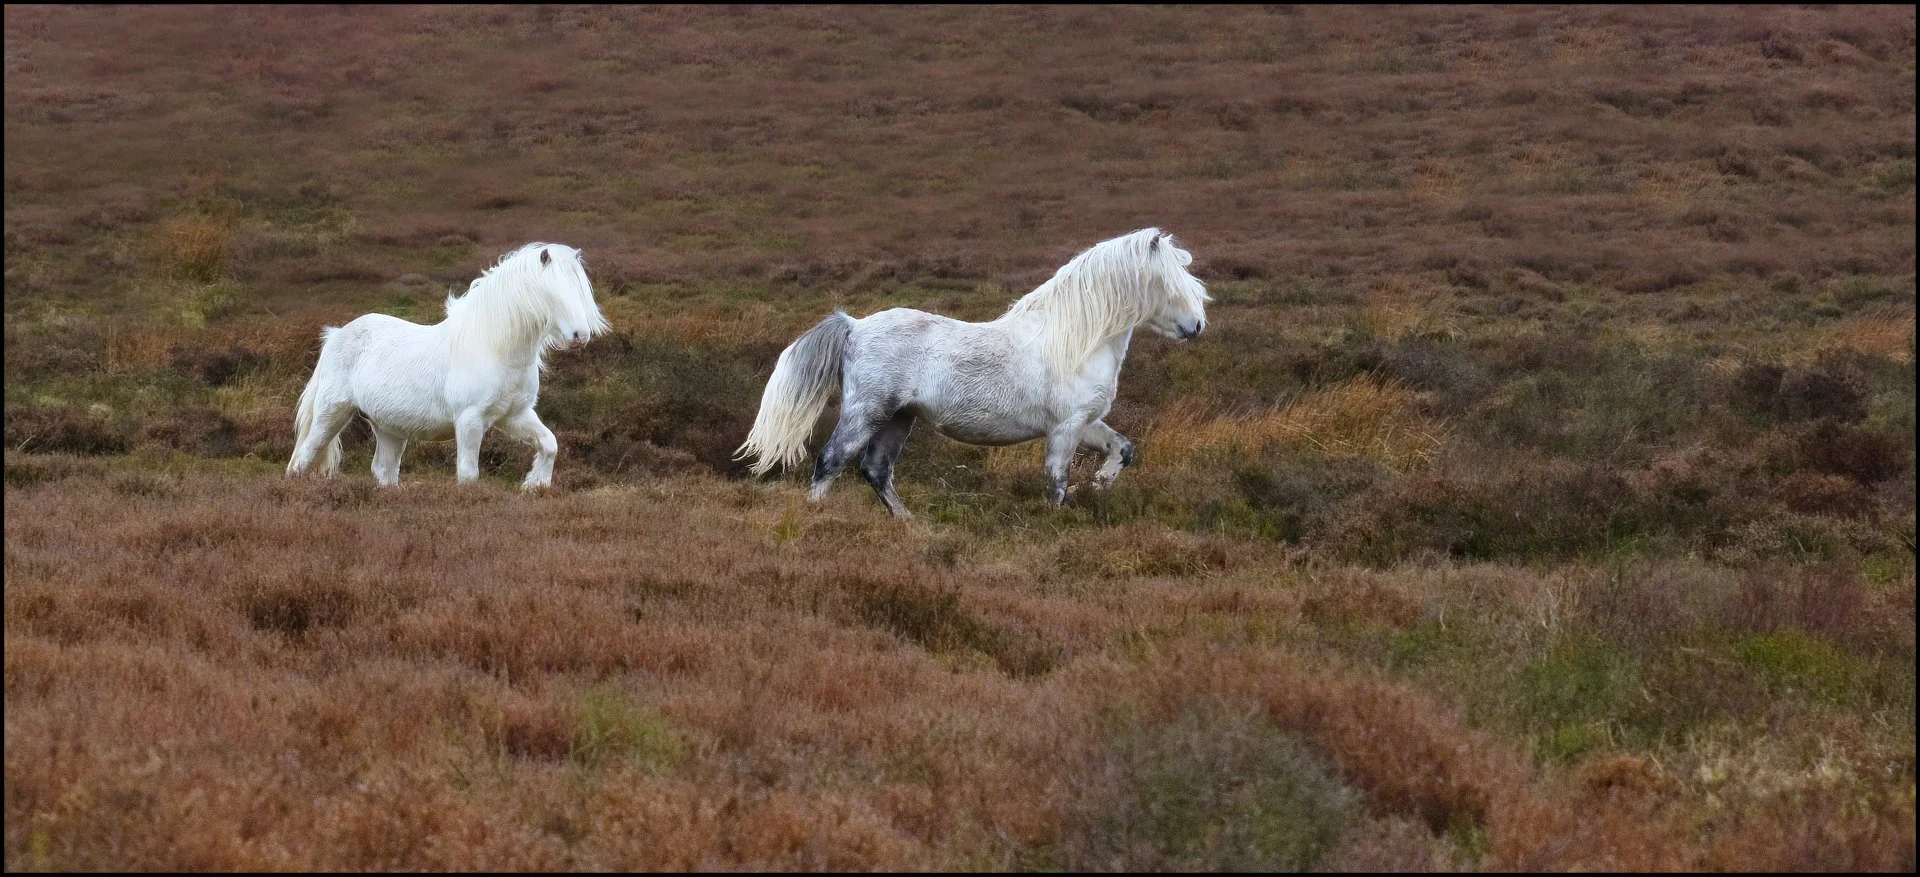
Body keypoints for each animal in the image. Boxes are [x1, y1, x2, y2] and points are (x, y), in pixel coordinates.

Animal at [285, 242, 610, 489]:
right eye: (551, 291)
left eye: (580, 288)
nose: (580, 336)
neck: (494, 349)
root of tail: (336, 335)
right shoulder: (469, 420)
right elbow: (468, 475)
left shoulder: (515, 416)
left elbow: (550, 443)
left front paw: (535, 484)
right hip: (332, 414)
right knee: (303, 457)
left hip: (389, 429)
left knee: (383, 471)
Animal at [736, 227, 1210, 518]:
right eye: (1168, 282)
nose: (1197, 327)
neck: (1073, 341)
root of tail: (854, 325)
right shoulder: (1065, 427)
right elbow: (1056, 483)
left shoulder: (1085, 422)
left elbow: (1123, 450)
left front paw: (1097, 486)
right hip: (866, 413)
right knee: (832, 461)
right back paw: (816, 515)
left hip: (898, 419)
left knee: (875, 470)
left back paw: (908, 522)